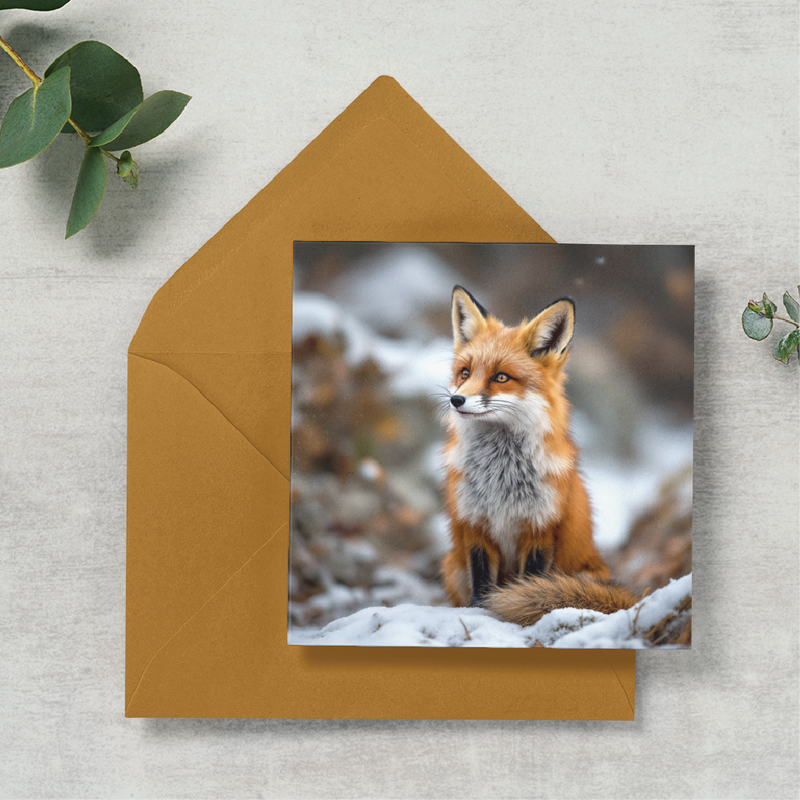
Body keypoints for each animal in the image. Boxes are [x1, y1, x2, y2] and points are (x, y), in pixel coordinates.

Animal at [441, 285, 638, 627]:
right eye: (464, 373)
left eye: (501, 377)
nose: (456, 400)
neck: (501, 477)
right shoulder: (475, 527)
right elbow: (482, 584)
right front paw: (480, 611)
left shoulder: (540, 529)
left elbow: (530, 583)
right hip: (452, 565)